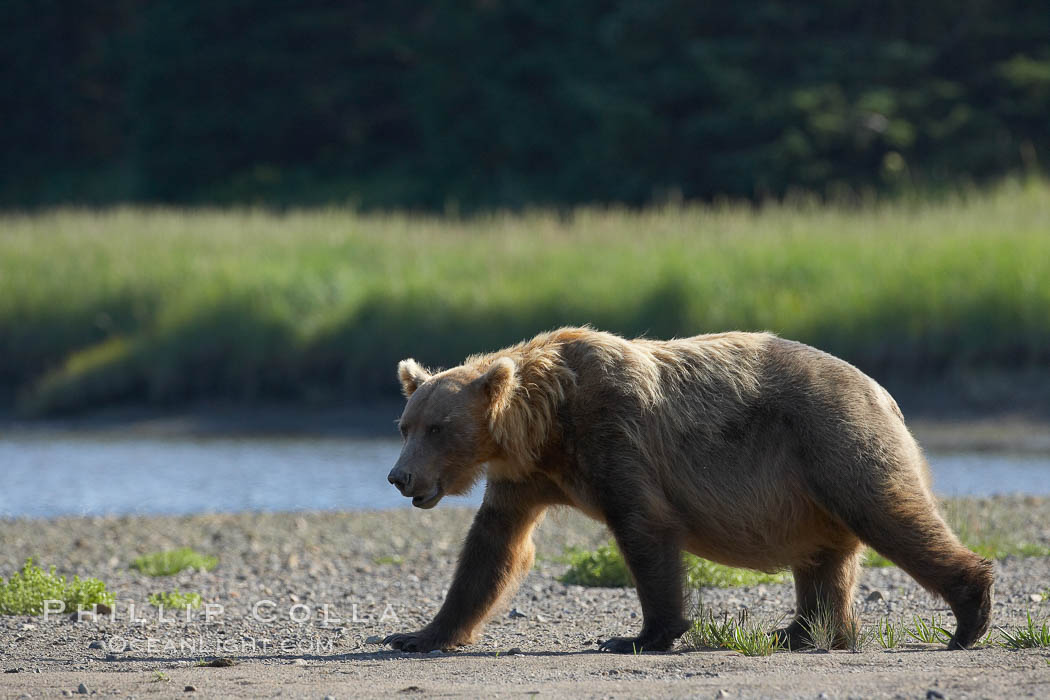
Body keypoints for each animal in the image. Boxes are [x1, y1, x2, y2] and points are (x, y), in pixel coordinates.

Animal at [380, 329, 991, 659]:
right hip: (805, 485)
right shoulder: (526, 479)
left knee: (888, 514)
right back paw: (803, 632)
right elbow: (493, 549)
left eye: (438, 427)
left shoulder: (615, 438)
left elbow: (643, 527)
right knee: (825, 558)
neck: (549, 425)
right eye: (405, 425)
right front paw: (417, 634)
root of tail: (884, 392)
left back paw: (968, 614)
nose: (399, 477)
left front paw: (640, 635)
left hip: (834, 440)